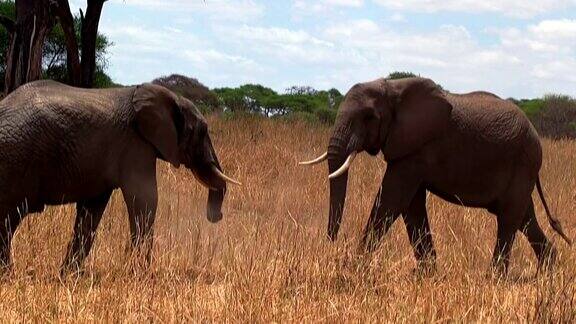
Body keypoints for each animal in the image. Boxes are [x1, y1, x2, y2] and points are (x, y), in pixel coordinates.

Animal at [0, 79, 241, 274]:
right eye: (202, 132)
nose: (217, 216)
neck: (172, 96)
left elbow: (92, 208)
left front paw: (69, 275)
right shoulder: (136, 145)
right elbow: (145, 198)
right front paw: (140, 274)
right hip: (16, 157)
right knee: (9, 217)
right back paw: (8, 275)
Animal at [302, 77, 572, 274]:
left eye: (369, 117)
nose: (332, 243)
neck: (391, 87)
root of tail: (536, 135)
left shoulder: (417, 148)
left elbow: (392, 199)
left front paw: (354, 265)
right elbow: (411, 206)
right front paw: (426, 273)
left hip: (523, 161)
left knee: (508, 217)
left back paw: (494, 277)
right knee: (524, 216)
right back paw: (546, 271)